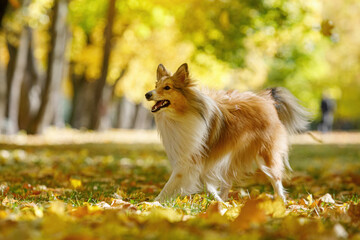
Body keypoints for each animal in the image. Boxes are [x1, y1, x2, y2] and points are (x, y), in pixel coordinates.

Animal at [145, 63, 308, 202]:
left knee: (276, 180)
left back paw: (281, 203)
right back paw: (222, 203)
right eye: (156, 86)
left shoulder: (190, 160)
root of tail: (267, 101)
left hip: (265, 156)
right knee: (227, 181)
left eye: (167, 87)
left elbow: (169, 185)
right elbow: (206, 183)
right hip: (232, 156)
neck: (180, 114)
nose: (147, 94)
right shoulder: (199, 159)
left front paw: (152, 204)